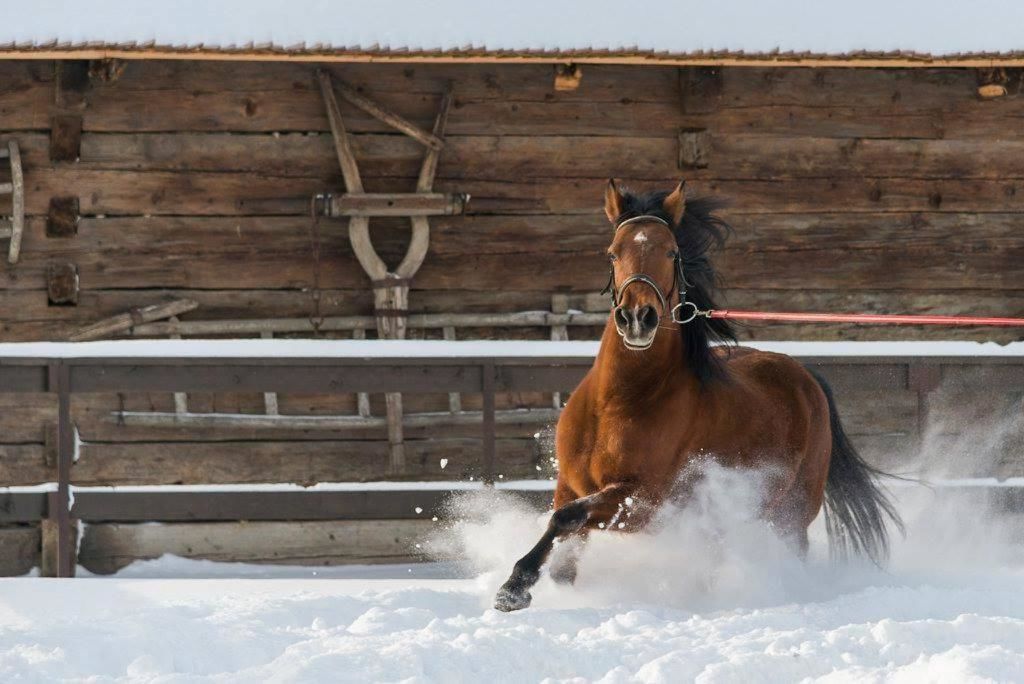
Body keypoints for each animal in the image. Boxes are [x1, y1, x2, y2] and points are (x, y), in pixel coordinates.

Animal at [495, 179, 905, 610]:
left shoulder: (641, 502)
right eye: (613, 252)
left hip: (792, 512)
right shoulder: (570, 485)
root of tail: (806, 377)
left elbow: (568, 518)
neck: (618, 402)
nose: (638, 318)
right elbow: (565, 541)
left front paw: (514, 587)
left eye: (671, 251)